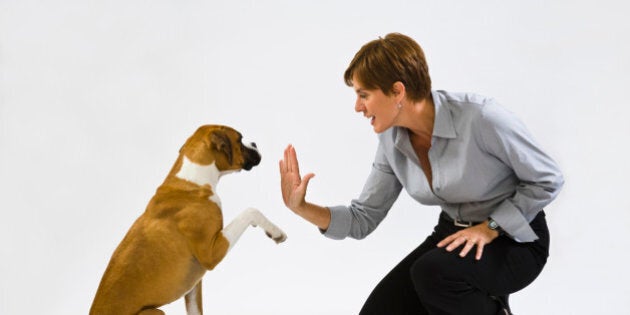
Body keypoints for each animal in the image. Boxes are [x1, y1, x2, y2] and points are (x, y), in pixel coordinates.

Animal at [90, 125, 288, 315]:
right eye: (239, 139)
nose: (254, 143)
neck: (193, 181)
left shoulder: (194, 287)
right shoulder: (211, 253)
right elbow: (250, 211)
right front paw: (275, 231)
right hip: (155, 311)